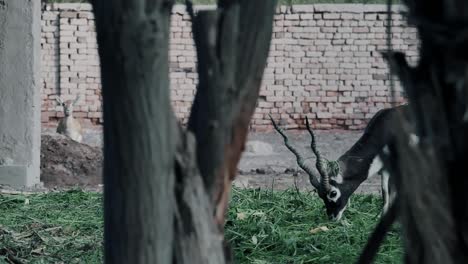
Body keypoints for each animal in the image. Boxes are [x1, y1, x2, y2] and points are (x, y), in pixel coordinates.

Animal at [270, 104, 414, 222]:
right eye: (320, 195)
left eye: (333, 193)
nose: (332, 217)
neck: (386, 129)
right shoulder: (385, 169)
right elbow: (385, 194)